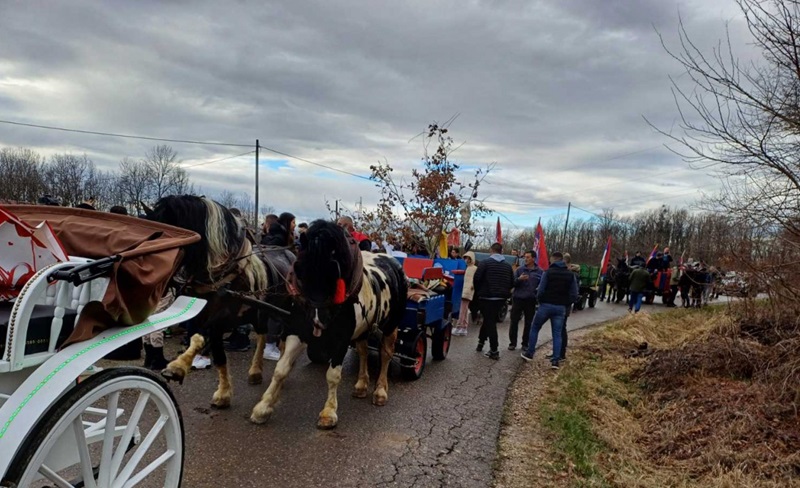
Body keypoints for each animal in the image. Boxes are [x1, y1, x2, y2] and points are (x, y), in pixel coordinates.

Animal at [148, 194, 292, 408]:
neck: (220, 276)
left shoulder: (221, 319)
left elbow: (204, 338)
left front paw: (179, 366)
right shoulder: (203, 317)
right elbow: (214, 352)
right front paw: (222, 392)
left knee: (274, 335)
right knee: (263, 334)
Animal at [252, 219, 406, 428]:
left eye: (335, 271)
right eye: (299, 270)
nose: (319, 320)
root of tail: (390, 259)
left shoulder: (340, 340)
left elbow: (333, 376)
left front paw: (329, 412)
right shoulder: (297, 332)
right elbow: (280, 369)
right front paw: (263, 407)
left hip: (390, 326)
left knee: (385, 355)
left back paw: (380, 390)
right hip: (363, 329)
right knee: (363, 352)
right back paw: (361, 385)